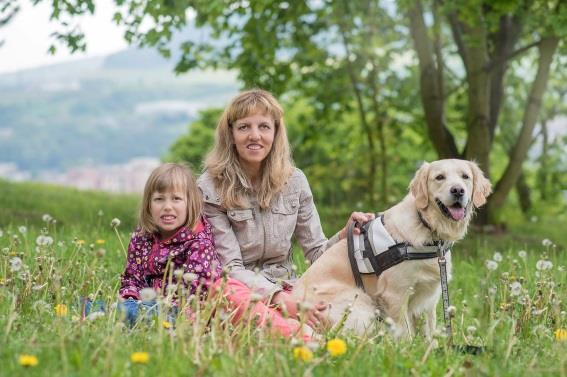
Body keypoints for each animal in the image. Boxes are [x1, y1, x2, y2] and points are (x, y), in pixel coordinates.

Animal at [292, 159, 492, 338]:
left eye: (465, 176)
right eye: (440, 177)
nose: (458, 190)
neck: (427, 227)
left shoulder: (429, 297)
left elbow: (429, 333)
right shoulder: (396, 295)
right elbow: (405, 335)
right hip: (361, 301)